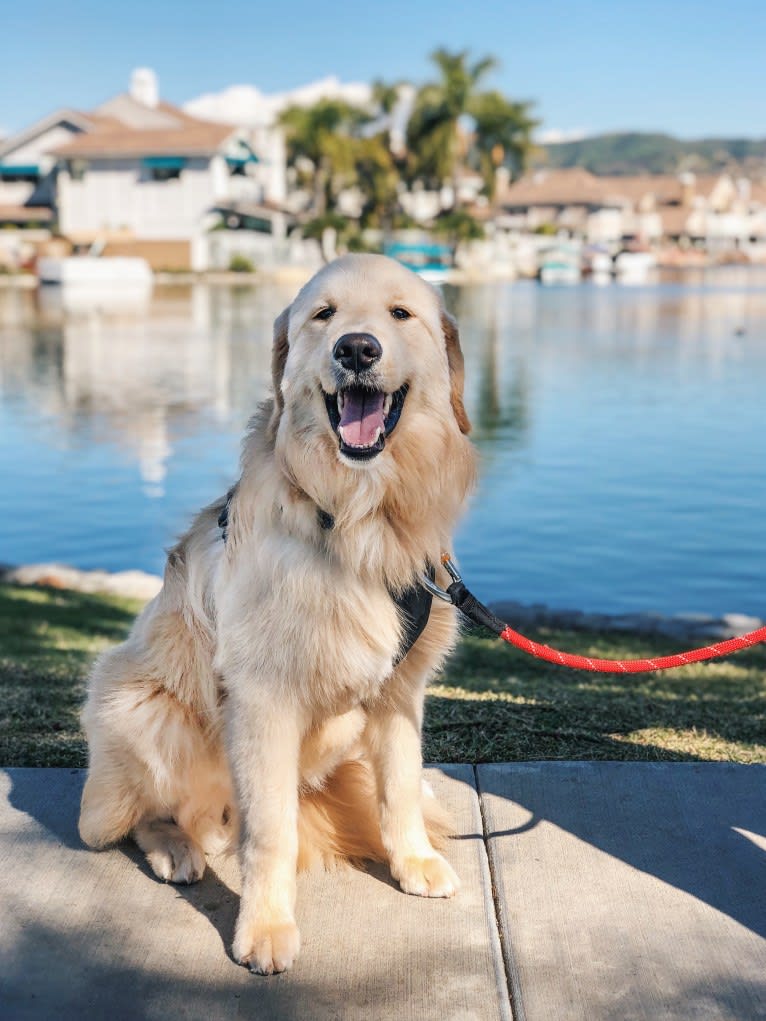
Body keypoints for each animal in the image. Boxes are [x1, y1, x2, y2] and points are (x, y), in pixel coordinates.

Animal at [78, 253, 473, 971]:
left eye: (400, 314)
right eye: (324, 314)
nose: (356, 348)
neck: (353, 517)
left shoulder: (401, 691)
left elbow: (401, 786)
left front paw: (414, 862)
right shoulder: (264, 697)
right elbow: (269, 832)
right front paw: (264, 926)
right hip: (136, 704)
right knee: (131, 816)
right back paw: (175, 847)